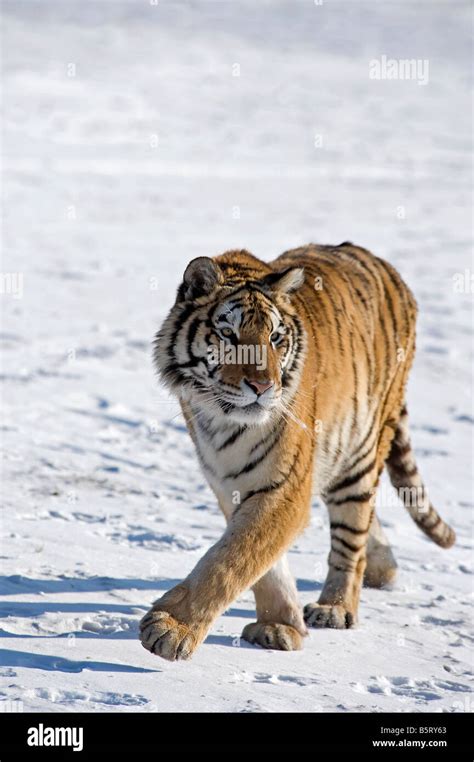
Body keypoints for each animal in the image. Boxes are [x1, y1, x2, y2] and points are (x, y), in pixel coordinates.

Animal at [140, 240, 456, 656]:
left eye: (275, 338)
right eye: (228, 334)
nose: (263, 386)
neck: (223, 420)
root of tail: (387, 268)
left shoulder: (285, 485)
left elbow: (232, 559)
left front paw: (170, 629)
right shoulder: (230, 481)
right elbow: (259, 560)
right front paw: (278, 625)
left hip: (359, 454)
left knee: (352, 534)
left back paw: (336, 608)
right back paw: (382, 570)